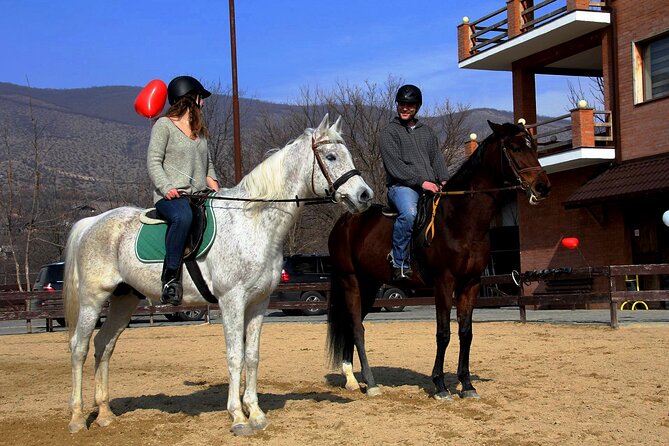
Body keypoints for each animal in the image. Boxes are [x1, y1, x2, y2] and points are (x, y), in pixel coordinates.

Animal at [64, 114, 374, 436]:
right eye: (331, 156)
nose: (365, 195)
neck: (252, 221)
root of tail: (92, 222)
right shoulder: (232, 301)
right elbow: (235, 356)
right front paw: (238, 416)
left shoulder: (259, 303)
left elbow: (252, 356)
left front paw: (256, 413)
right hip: (92, 300)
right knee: (79, 348)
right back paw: (77, 418)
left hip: (124, 300)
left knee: (104, 345)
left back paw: (104, 414)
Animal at [326, 120, 552, 398]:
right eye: (516, 147)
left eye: (534, 146)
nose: (543, 187)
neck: (461, 220)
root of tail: (345, 221)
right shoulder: (444, 283)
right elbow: (443, 333)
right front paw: (440, 386)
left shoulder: (471, 283)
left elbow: (466, 333)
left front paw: (467, 384)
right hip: (350, 281)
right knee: (357, 327)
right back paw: (370, 383)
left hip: (369, 285)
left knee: (351, 324)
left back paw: (351, 379)